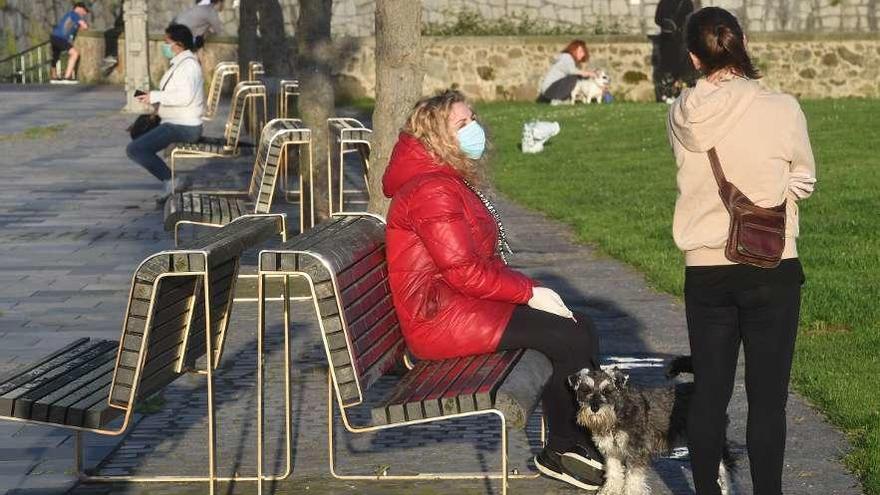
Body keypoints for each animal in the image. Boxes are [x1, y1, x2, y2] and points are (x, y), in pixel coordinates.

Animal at [564, 358, 736, 494]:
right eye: (585, 390)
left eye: (607, 391)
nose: (594, 408)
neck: (618, 413)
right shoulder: (611, 452)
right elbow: (613, 473)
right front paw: (610, 490)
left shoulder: (636, 452)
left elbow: (633, 479)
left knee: (725, 469)